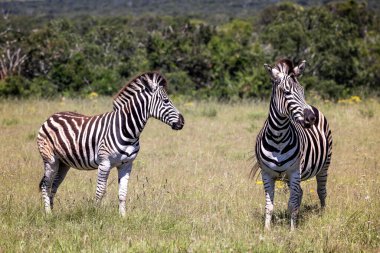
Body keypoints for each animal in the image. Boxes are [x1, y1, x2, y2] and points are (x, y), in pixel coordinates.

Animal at [36, 71, 184, 215]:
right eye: (166, 100)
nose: (182, 122)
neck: (128, 130)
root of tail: (52, 116)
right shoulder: (104, 163)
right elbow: (100, 191)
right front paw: (95, 215)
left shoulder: (127, 164)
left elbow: (123, 193)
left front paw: (123, 217)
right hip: (50, 160)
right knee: (46, 185)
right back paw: (48, 214)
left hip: (63, 163)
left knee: (54, 185)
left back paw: (53, 211)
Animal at [252, 59, 332, 231]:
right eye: (286, 92)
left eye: (302, 91)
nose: (311, 118)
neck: (278, 137)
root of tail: (313, 106)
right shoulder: (266, 174)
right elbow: (269, 206)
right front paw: (266, 230)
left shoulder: (295, 172)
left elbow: (291, 204)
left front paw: (292, 231)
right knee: (300, 192)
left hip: (325, 164)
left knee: (321, 191)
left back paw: (323, 214)